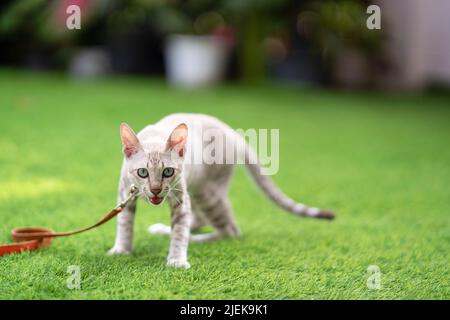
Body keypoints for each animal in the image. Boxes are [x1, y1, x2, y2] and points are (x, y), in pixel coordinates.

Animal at [108, 112, 334, 268]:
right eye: (143, 172)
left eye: (168, 172)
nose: (155, 190)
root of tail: (232, 132)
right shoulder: (125, 193)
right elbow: (124, 224)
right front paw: (122, 250)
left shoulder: (180, 198)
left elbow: (180, 232)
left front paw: (176, 260)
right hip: (198, 190)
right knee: (201, 220)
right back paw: (164, 230)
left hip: (208, 194)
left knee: (229, 231)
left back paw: (194, 240)